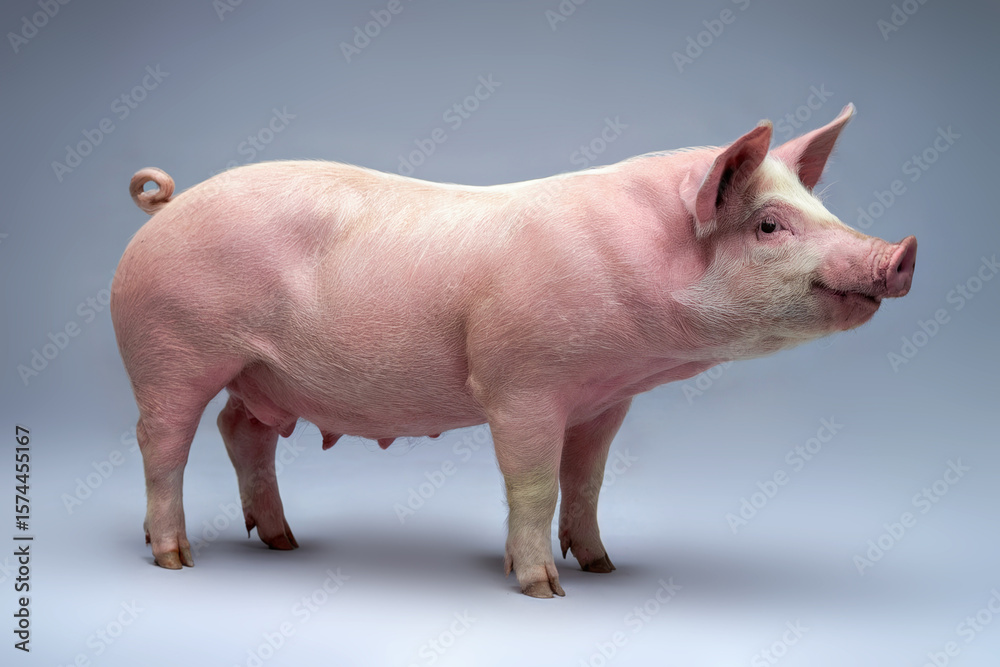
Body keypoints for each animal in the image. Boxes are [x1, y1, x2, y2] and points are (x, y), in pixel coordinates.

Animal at [111, 104, 916, 598]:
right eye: (770, 224)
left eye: (819, 207)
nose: (901, 252)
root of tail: (167, 206)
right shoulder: (521, 383)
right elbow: (533, 484)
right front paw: (543, 589)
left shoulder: (605, 400)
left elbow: (587, 483)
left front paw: (603, 566)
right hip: (170, 350)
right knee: (162, 440)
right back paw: (176, 558)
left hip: (260, 373)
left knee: (240, 430)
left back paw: (284, 544)